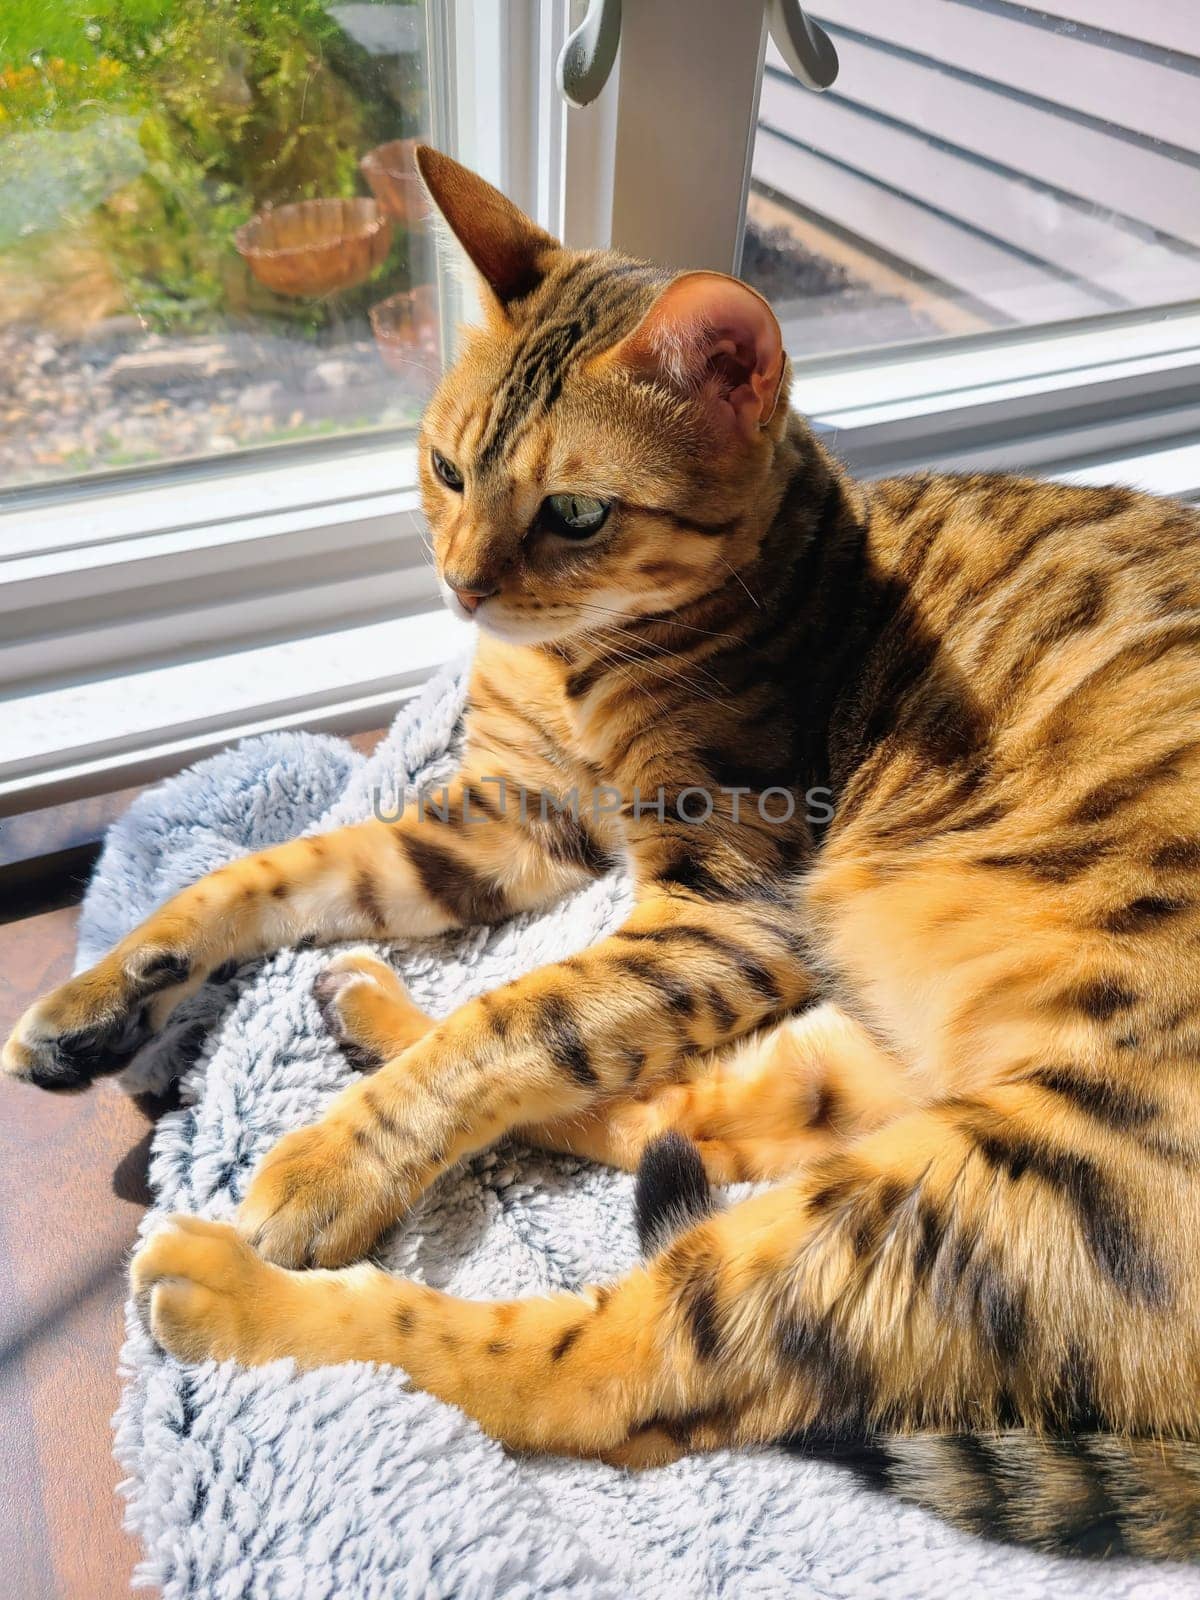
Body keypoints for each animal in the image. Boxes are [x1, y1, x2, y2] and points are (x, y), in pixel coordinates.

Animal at [7, 147, 1200, 1548]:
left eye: (577, 510)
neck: (574, 659)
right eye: (446, 469)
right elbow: (271, 876)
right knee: (691, 1121)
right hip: (882, 1057)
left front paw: (334, 1161)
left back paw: (233, 1285)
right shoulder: (501, 825)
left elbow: (515, 1023)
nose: (463, 585)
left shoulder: (729, 902)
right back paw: (367, 1009)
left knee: (624, 1365)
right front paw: (106, 993)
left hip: (1023, 1168)